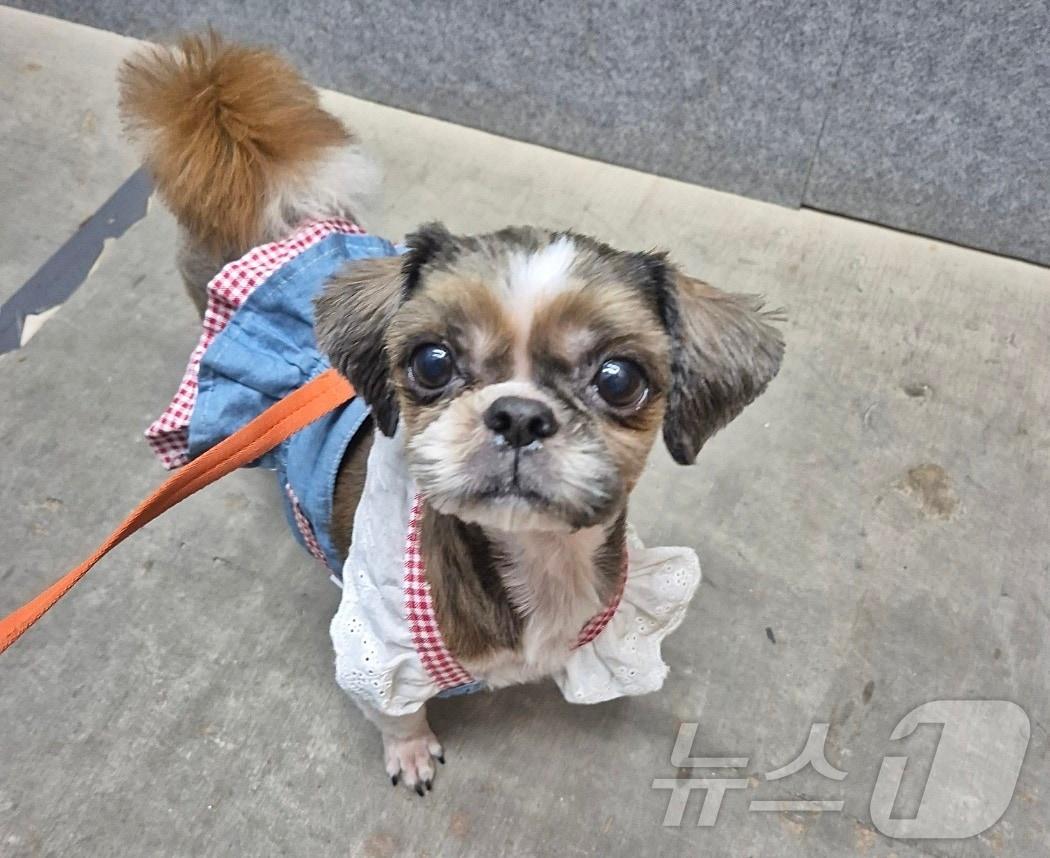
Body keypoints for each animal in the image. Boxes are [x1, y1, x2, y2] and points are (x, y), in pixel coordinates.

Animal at [119, 33, 785, 798]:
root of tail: (282, 218)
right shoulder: (376, 650)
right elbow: (398, 713)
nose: (519, 416)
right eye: (432, 363)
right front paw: (410, 752)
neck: (538, 562)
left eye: (619, 379)